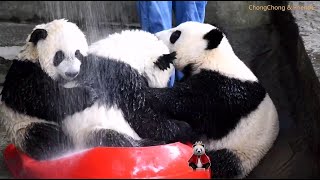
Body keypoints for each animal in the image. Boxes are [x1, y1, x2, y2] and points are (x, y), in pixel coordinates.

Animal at [148, 21, 280, 179]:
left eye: (175, 35)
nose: (156, 36)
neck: (212, 57)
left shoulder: (224, 92)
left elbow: (189, 103)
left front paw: (151, 94)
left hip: (238, 152)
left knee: (217, 162)